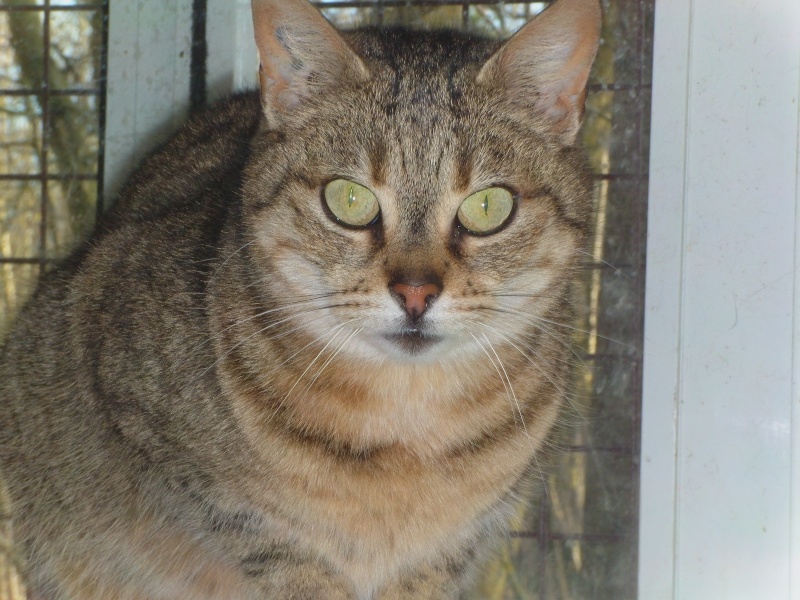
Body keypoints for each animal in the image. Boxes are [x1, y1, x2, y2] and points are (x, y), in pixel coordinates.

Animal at [0, 0, 600, 596]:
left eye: (489, 207)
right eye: (349, 199)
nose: (415, 293)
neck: (404, 436)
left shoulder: (449, 550)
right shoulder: (190, 471)